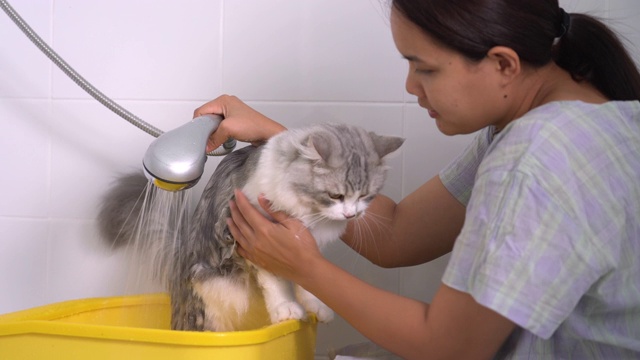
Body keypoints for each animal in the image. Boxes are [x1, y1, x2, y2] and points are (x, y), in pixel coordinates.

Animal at [97, 123, 402, 332]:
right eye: (336, 195)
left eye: (366, 195)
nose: (351, 214)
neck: (308, 213)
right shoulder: (252, 240)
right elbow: (277, 283)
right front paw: (287, 311)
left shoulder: (302, 247)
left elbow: (307, 279)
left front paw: (316, 307)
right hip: (214, 299)